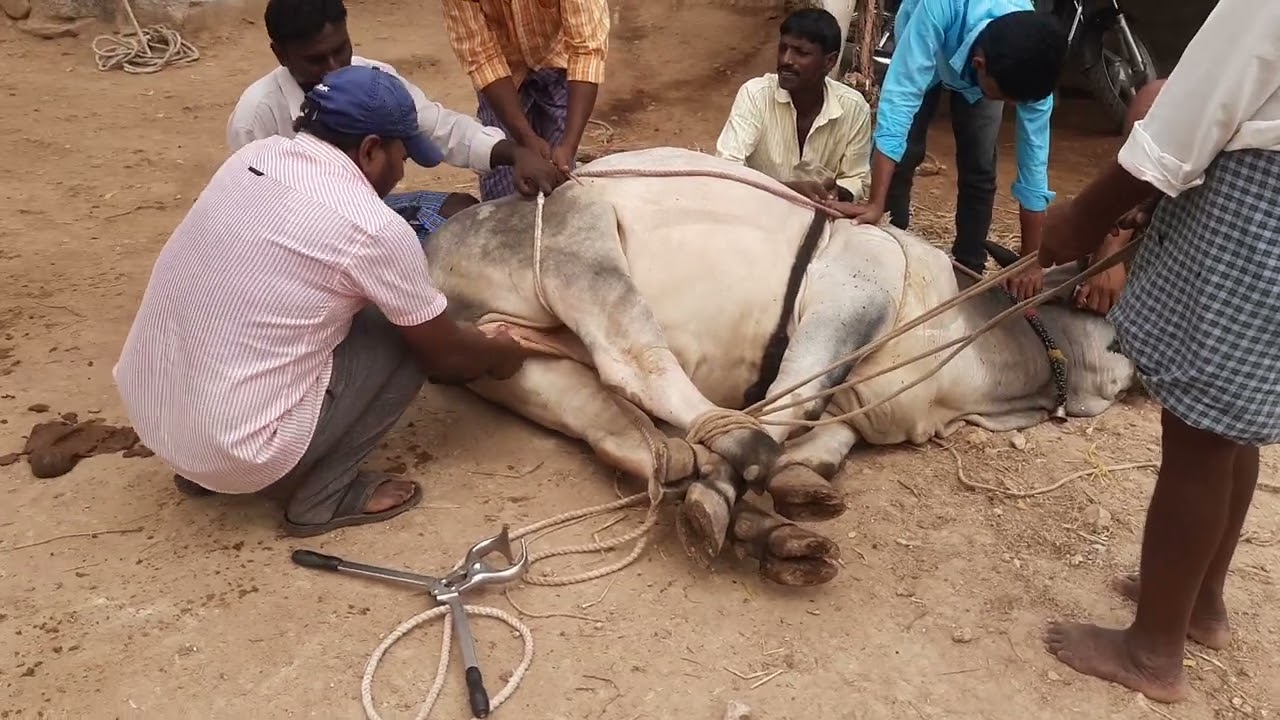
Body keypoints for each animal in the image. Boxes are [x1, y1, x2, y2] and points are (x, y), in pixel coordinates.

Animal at [423, 147, 1137, 587]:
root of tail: (433, 246)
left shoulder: (856, 411)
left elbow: (818, 448)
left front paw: (777, 508)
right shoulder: (852, 294)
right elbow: (790, 401)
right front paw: (736, 495)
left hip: (517, 366)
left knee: (636, 438)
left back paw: (736, 502)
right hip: (582, 240)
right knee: (642, 367)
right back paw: (739, 470)